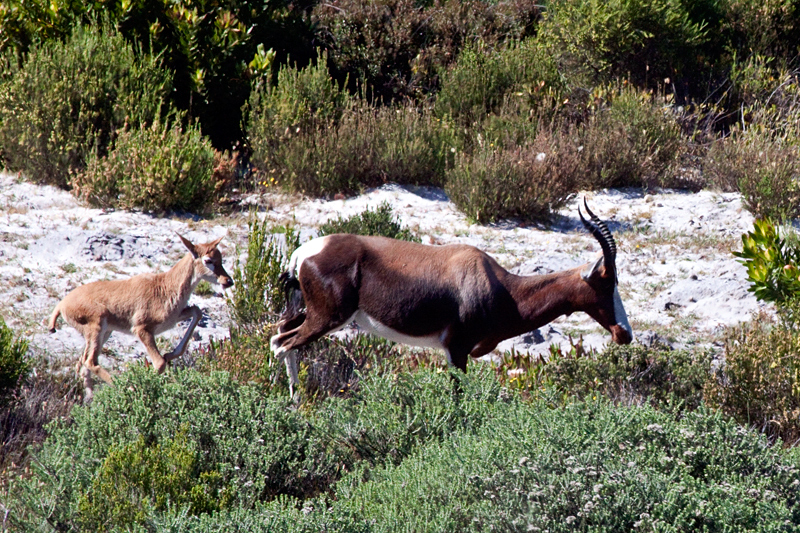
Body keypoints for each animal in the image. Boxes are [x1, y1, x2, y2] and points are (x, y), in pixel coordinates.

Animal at [48, 234, 233, 400]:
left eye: (220, 258)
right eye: (208, 260)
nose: (228, 281)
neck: (165, 286)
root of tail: (61, 305)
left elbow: (197, 311)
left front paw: (170, 354)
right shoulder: (141, 330)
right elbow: (159, 363)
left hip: (104, 333)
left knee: (82, 362)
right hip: (97, 327)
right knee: (90, 361)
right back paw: (129, 389)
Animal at [272, 197, 636, 396]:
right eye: (607, 283)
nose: (625, 334)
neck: (496, 283)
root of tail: (302, 253)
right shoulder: (457, 350)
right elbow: (458, 394)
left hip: (305, 312)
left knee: (279, 336)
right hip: (327, 319)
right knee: (285, 344)